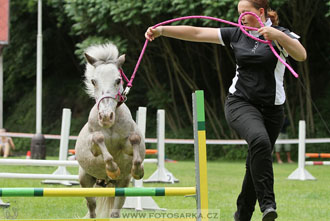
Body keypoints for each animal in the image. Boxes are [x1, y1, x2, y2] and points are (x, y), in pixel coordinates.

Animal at [76, 42, 146, 218]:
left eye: (118, 80)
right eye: (94, 81)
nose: (106, 116)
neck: (111, 127)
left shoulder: (129, 144)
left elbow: (134, 140)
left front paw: (138, 170)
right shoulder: (94, 148)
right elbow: (99, 139)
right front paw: (113, 169)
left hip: (122, 184)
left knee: (115, 211)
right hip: (85, 180)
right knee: (92, 208)